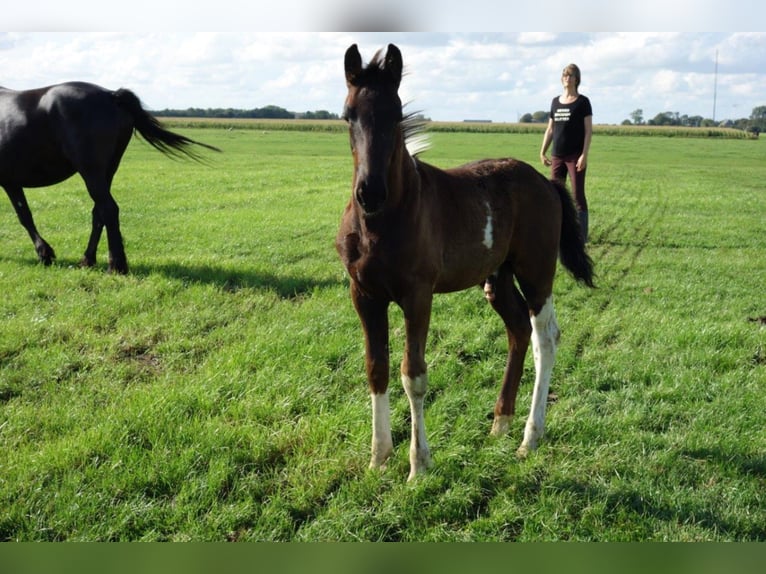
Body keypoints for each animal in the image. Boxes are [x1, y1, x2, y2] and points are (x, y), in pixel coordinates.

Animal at [0, 81, 222, 276]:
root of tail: (111, 95)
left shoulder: (10, 183)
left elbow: (24, 217)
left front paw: (44, 253)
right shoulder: (11, 182)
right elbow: (25, 215)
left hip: (91, 172)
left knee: (108, 209)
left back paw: (115, 266)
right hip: (107, 171)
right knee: (99, 212)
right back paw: (88, 260)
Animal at [340, 44, 596, 482]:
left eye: (396, 115)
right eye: (347, 115)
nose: (369, 192)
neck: (382, 222)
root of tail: (546, 183)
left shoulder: (418, 296)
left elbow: (413, 374)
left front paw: (418, 465)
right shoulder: (365, 294)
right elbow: (377, 369)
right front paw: (378, 458)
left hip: (536, 272)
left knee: (546, 337)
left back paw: (530, 438)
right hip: (497, 278)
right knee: (518, 330)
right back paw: (501, 422)